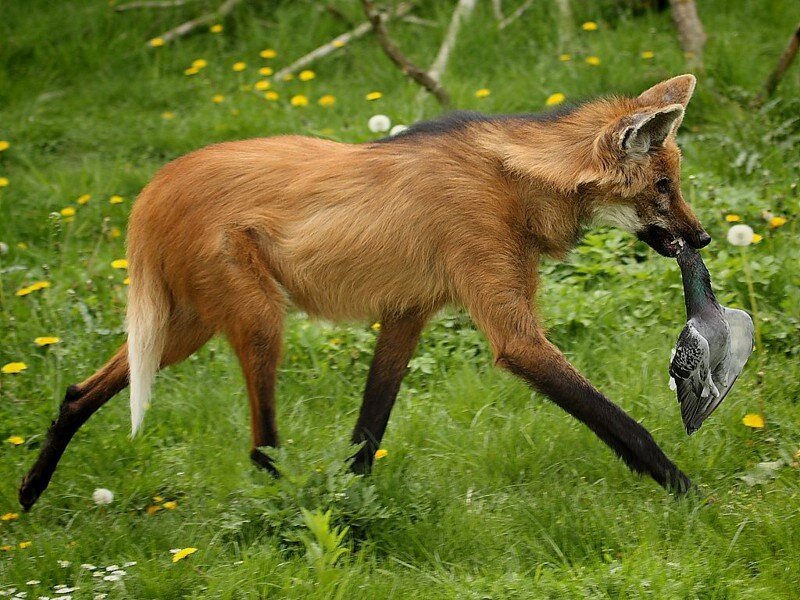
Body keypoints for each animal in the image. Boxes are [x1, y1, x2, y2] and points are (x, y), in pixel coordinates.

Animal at [18, 72, 708, 508]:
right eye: (663, 189)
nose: (700, 237)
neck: (518, 179)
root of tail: (153, 188)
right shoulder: (512, 332)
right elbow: (623, 424)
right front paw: (691, 495)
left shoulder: (406, 314)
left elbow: (368, 431)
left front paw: (351, 507)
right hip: (256, 317)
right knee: (260, 446)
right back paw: (289, 507)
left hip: (186, 324)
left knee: (78, 392)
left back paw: (29, 490)